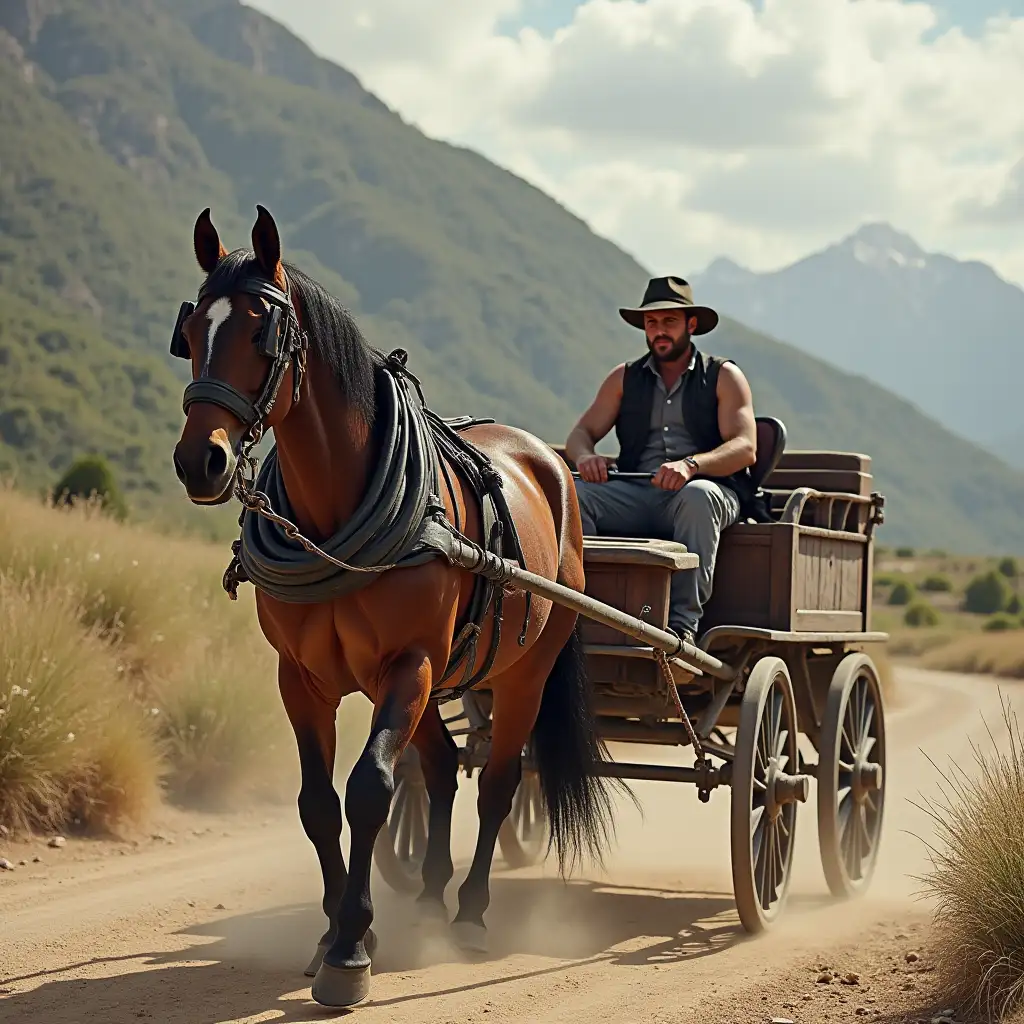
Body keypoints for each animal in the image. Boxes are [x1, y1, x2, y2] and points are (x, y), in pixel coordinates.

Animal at [169, 203, 622, 1003]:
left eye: (261, 332)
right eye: (190, 334)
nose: (202, 461)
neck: (332, 525)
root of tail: (553, 466)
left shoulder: (407, 666)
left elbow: (371, 790)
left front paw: (351, 950)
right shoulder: (300, 678)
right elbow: (319, 804)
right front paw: (333, 933)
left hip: (520, 676)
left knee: (498, 784)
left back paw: (470, 913)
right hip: (440, 682)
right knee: (439, 772)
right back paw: (431, 895)